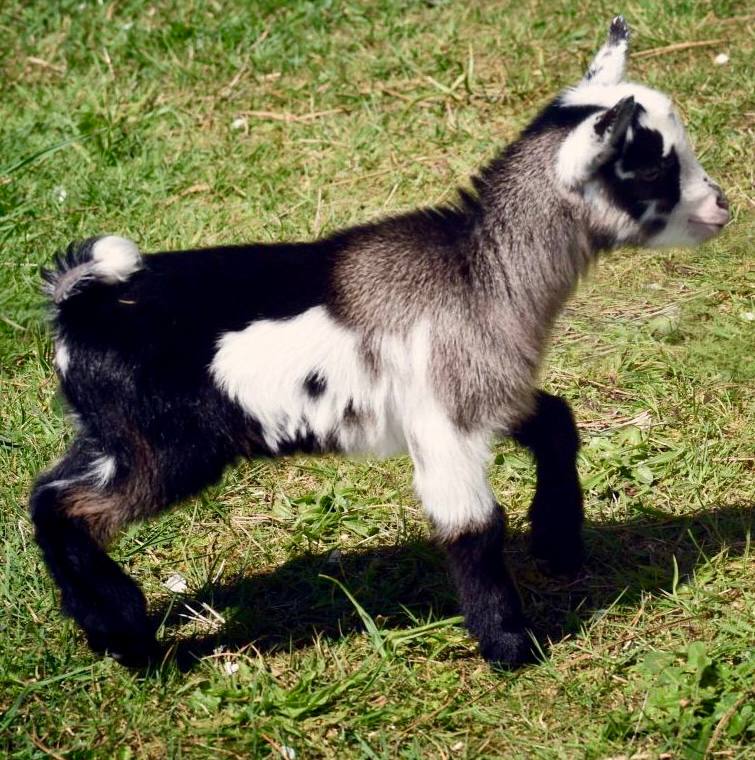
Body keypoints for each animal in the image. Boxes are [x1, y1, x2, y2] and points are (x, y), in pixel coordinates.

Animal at [30, 17, 729, 668]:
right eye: (654, 167)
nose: (722, 205)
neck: (478, 268)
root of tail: (80, 307)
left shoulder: (489, 388)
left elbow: (558, 424)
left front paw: (558, 545)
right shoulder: (445, 422)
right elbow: (474, 527)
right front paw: (511, 645)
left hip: (112, 438)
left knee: (46, 492)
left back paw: (105, 628)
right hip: (168, 448)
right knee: (70, 509)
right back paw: (130, 637)